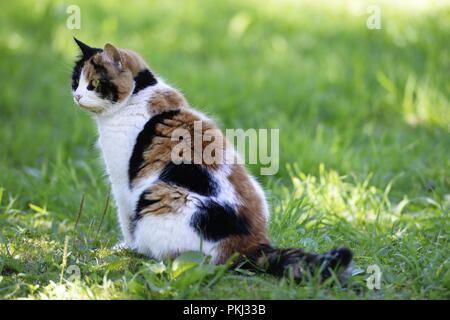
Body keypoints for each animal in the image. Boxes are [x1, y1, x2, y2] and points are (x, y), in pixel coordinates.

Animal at [71, 38, 352, 282]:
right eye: (75, 80)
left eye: (93, 83)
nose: (77, 96)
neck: (139, 94)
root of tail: (253, 245)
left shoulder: (122, 184)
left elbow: (126, 219)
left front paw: (125, 247)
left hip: (157, 198)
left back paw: (144, 252)